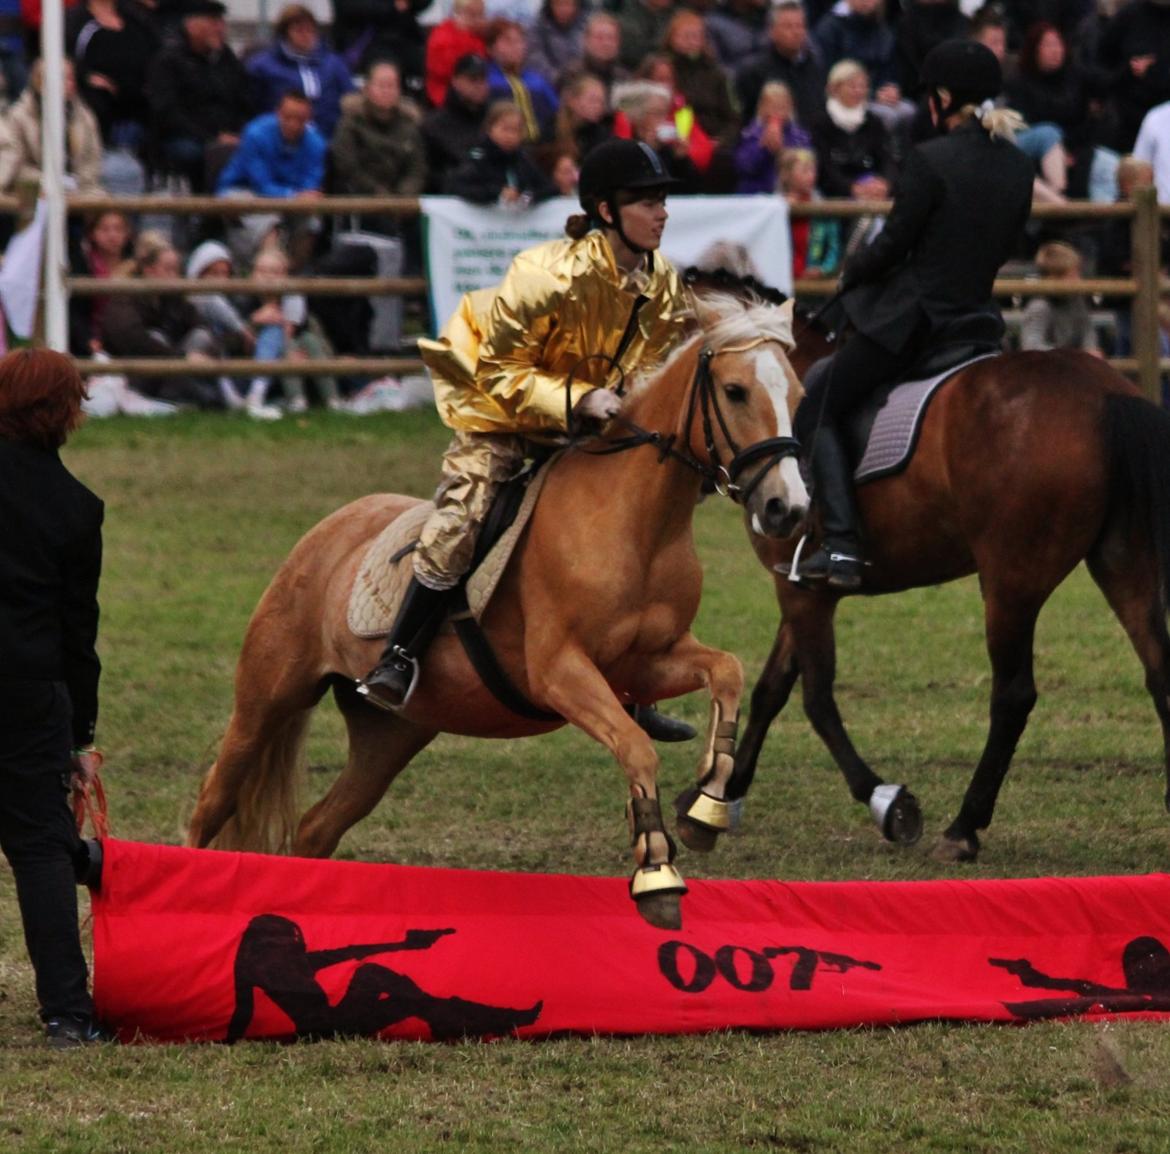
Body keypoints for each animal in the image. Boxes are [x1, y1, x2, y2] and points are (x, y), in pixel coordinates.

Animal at [187, 292, 809, 931]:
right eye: (735, 391)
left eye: (796, 396)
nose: (787, 508)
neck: (636, 524)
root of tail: (327, 531)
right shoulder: (561, 673)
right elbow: (637, 747)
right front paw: (658, 874)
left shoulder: (647, 662)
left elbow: (726, 672)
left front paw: (708, 807)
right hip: (266, 702)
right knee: (212, 803)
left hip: (391, 737)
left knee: (316, 828)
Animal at [716, 318, 1170, 861]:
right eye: (735, 393)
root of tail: (1102, 390)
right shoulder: (801, 585)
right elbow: (772, 689)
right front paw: (723, 794)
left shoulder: (801, 592)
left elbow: (815, 698)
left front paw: (888, 804)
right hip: (1123, 561)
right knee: (1161, 671)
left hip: (1010, 581)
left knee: (1013, 696)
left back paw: (963, 828)